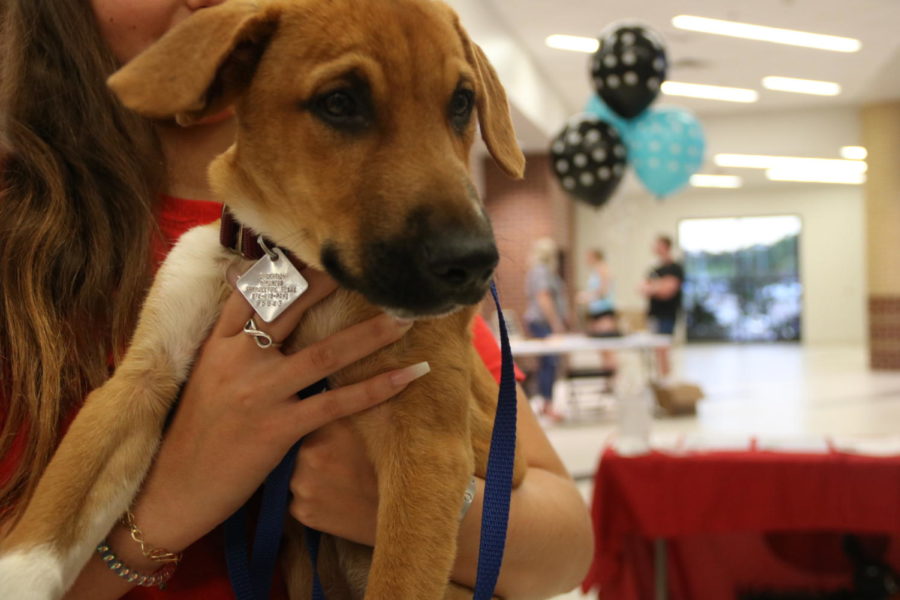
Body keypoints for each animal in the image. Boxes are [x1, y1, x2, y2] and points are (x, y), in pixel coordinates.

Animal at [0, 1, 528, 600]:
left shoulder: (427, 440)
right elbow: (55, 510)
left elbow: (401, 578)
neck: (298, 260)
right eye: (339, 102)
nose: (476, 263)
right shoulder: (142, 377)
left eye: (461, 103)